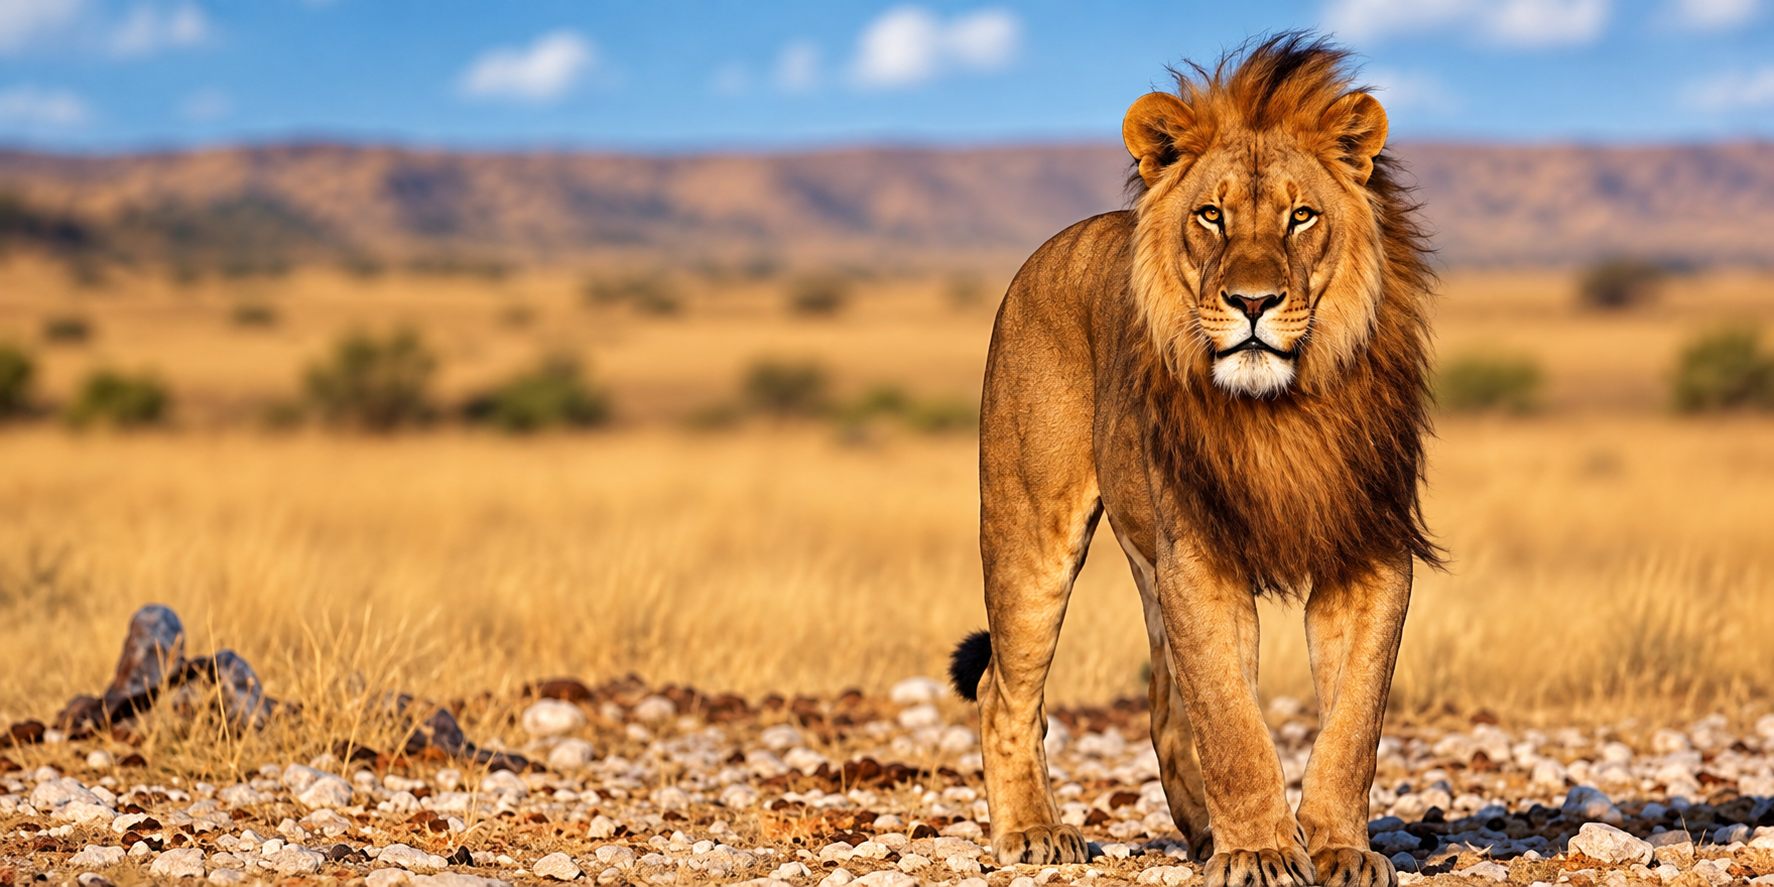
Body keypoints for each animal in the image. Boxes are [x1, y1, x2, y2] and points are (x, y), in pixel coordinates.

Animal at [947, 34, 1439, 887]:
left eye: (1300, 216)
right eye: (1212, 215)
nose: (1253, 302)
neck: (1283, 411)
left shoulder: (1370, 551)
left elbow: (1353, 721)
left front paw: (1338, 848)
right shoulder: (1199, 556)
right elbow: (1233, 722)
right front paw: (1262, 852)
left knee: (1164, 703)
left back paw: (1205, 829)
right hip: (1029, 532)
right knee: (1004, 690)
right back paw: (1033, 830)